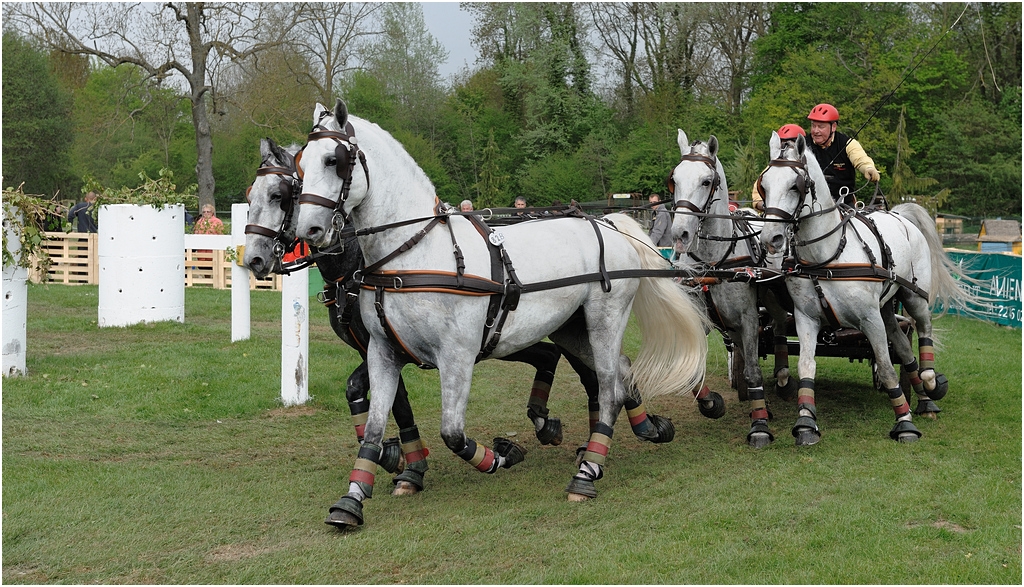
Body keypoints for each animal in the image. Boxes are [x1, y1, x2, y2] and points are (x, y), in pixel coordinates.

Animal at [293, 99, 708, 527]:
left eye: (333, 160)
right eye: (300, 165)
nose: (308, 230)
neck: (413, 254)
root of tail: (608, 221)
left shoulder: (456, 356)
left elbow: (452, 432)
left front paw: (504, 454)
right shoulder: (382, 352)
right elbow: (375, 427)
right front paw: (352, 498)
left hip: (605, 320)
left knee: (610, 387)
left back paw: (587, 473)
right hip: (570, 328)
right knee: (621, 373)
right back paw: (640, 431)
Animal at [668, 130, 794, 448]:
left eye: (706, 181)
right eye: (674, 179)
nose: (679, 234)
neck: (714, 262)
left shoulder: (749, 319)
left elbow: (753, 372)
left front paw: (759, 424)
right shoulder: (700, 318)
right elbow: (694, 369)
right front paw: (712, 404)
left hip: (773, 299)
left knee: (779, 326)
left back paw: (783, 378)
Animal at [757, 131, 972, 445]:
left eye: (796, 186)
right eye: (764, 185)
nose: (770, 238)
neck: (828, 256)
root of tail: (899, 215)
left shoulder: (869, 319)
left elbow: (885, 365)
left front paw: (904, 423)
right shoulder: (806, 318)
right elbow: (806, 365)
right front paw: (806, 422)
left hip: (912, 297)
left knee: (923, 328)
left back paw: (930, 383)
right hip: (885, 310)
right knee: (904, 347)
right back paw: (924, 398)